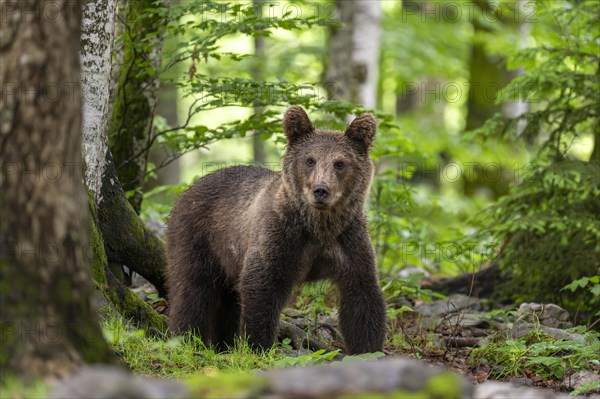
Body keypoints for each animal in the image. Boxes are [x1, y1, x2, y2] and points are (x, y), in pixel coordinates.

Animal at [166, 105, 386, 354]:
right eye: (310, 160)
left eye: (340, 163)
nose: (321, 190)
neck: (318, 225)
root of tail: (188, 189)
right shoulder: (279, 236)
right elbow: (262, 287)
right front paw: (258, 346)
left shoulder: (348, 239)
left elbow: (362, 295)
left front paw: (369, 349)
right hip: (197, 236)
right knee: (192, 290)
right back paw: (186, 339)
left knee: (228, 301)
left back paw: (225, 344)